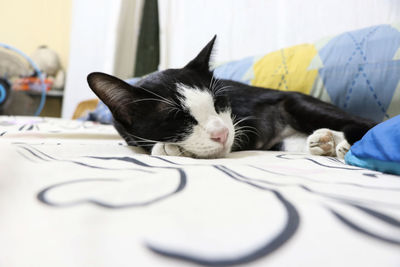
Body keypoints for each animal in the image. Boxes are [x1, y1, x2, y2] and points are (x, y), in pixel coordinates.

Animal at [86, 36, 376, 160]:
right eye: (177, 118)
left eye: (218, 104)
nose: (222, 133)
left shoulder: (246, 121)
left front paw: (168, 148)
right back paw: (325, 142)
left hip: (296, 102)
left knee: (365, 122)